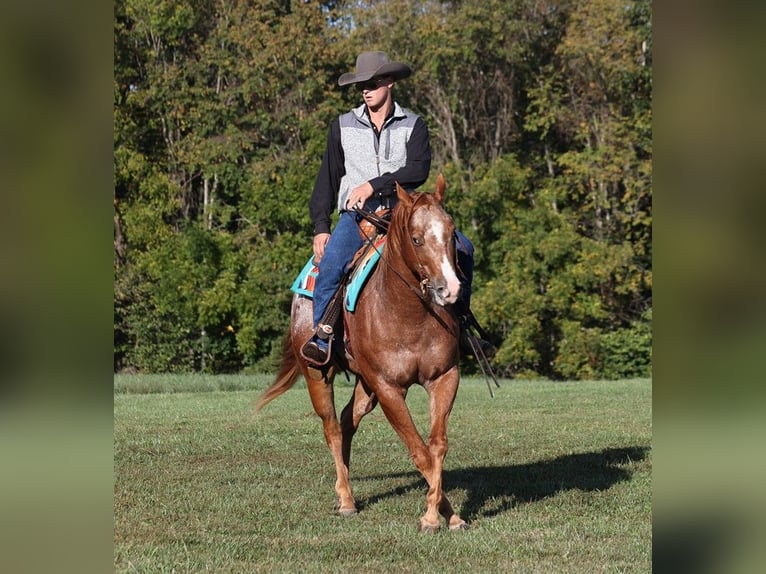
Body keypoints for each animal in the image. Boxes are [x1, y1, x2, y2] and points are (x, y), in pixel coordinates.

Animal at [256, 177, 468, 536]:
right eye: (416, 238)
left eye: (451, 232)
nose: (449, 289)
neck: (410, 314)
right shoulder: (388, 388)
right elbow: (419, 451)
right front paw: (431, 517)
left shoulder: (444, 378)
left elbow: (437, 446)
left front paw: (448, 514)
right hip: (318, 374)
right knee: (331, 427)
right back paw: (346, 499)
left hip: (365, 384)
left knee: (346, 420)